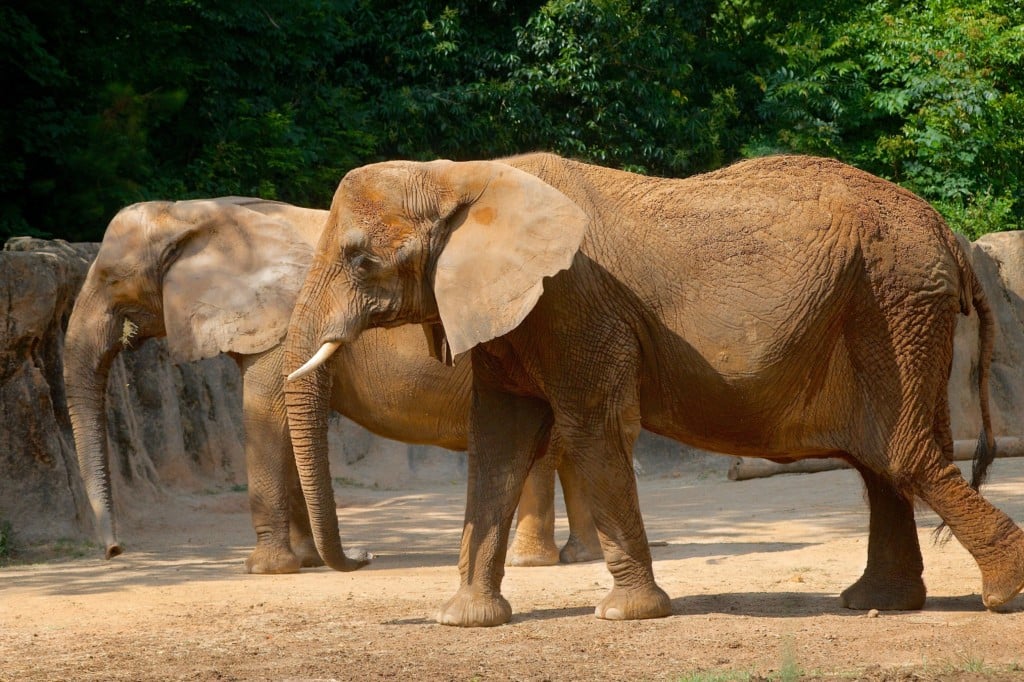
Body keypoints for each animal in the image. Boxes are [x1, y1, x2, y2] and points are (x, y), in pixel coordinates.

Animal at [61, 196, 598, 573]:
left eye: (110, 280)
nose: (114, 550)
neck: (193, 212)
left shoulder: (278, 322)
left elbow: (266, 414)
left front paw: (266, 569)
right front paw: (306, 561)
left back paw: (532, 561)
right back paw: (578, 556)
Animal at [282, 153, 1024, 626]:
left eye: (360, 259)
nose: (364, 558)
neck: (462, 175)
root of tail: (946, 233)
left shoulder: (573, 300)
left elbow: (593, 430)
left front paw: (625, 614)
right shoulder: (513, 316)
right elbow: (498, 444)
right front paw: (463, 620)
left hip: (894, 305)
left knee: (901, 454)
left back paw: (999, 596)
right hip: (887, 307)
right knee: (881, 460)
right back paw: (879, 602)